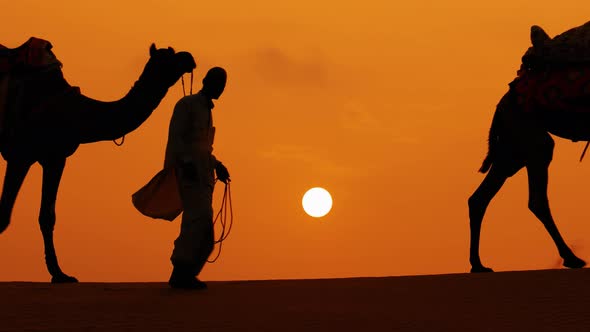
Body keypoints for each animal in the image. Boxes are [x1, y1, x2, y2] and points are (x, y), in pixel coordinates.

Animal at [0, 39, 199, 282]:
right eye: (166, 58)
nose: (188, 57)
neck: (74, 113)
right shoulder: (21, 154)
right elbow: (4, 214)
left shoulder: (55, 157)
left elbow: (47, 216)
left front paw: (60, 274)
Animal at [472, 22, 590, 274]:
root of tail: (501, 104)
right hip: (532, 141)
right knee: (537, 199)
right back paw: (572, 258)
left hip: (512, 150)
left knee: (478, 198)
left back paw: (478, 264)